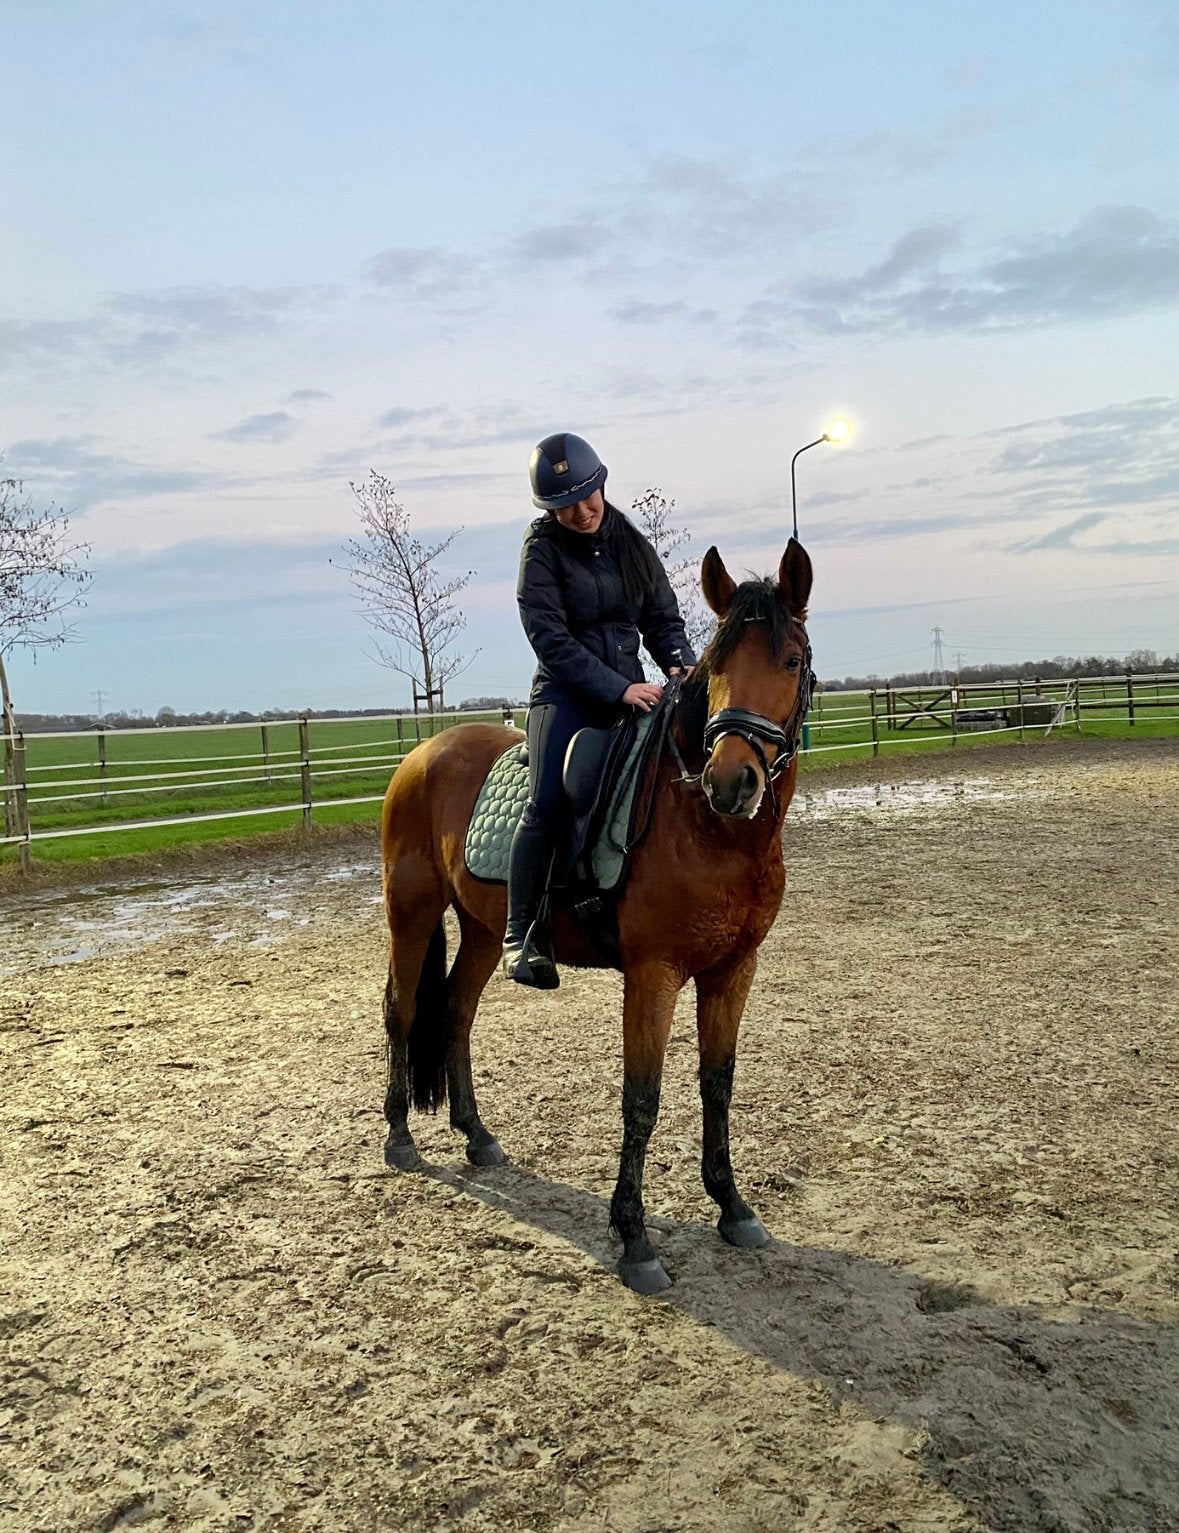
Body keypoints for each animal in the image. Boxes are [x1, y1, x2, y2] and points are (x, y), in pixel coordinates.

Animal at [378, 537, 814, 1294]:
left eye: (789, 661)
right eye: (716, 667)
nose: (731, 781)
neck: (708, 829)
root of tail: (422, 752)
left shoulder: (733, 969)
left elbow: (718, 1084)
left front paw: (732, 1206)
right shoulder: (652, 973)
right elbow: (641, 1098)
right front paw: (634, 1240)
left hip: (487, 930)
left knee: (456, 1010)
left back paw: (476, 1135)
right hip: (412, 913)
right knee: (403, 1009)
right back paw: (400, 1137)